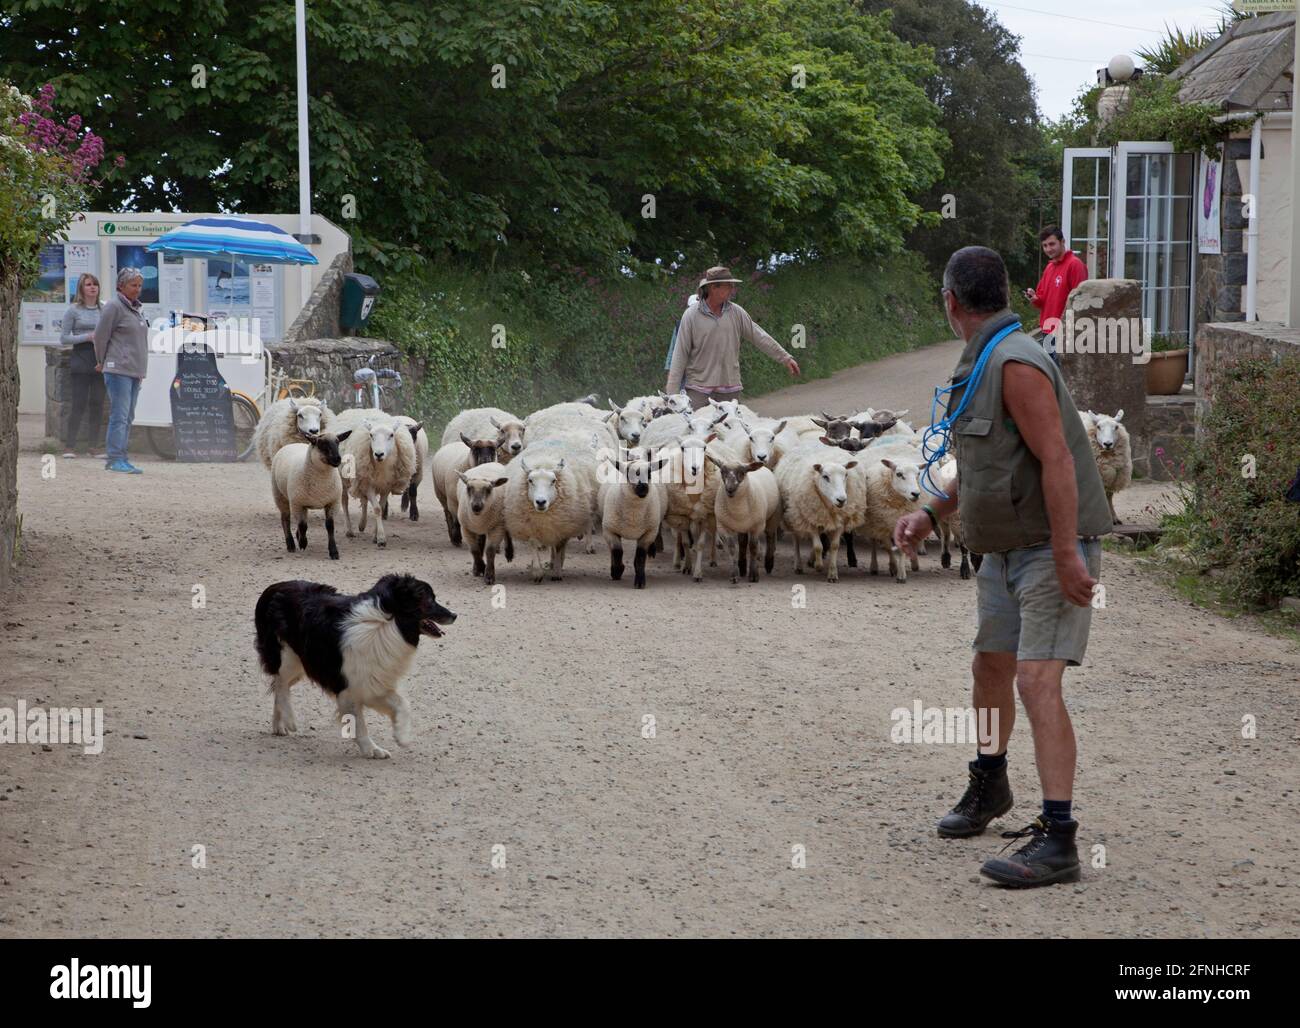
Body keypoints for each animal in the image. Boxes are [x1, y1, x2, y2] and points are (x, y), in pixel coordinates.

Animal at [340, 415, 416, 551]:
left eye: (391, 435)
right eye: (371, 435)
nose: (379, 454)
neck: (382, 467)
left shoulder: (386, 487)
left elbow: (381, 506)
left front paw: (375, 536)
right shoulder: (369, 485)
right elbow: (377, 509)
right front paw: (381, 539)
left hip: (362, 479)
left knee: (364, 501)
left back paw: (362, 524)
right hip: (347, 478)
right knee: (345, 500)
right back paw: (349, 530)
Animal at [707, 452, 774, 582]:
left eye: (742, 473)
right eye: (722, 471)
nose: (730, 489)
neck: (738, 511)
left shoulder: (757, 526)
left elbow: (753, 548)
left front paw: (754, 575)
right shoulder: (724, 527)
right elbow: (732, 548)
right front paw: (734, 575)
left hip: (772, 518)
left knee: (770, 537)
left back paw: (768, 563)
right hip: (742, 527)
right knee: (742, 543)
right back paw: (742, 567)